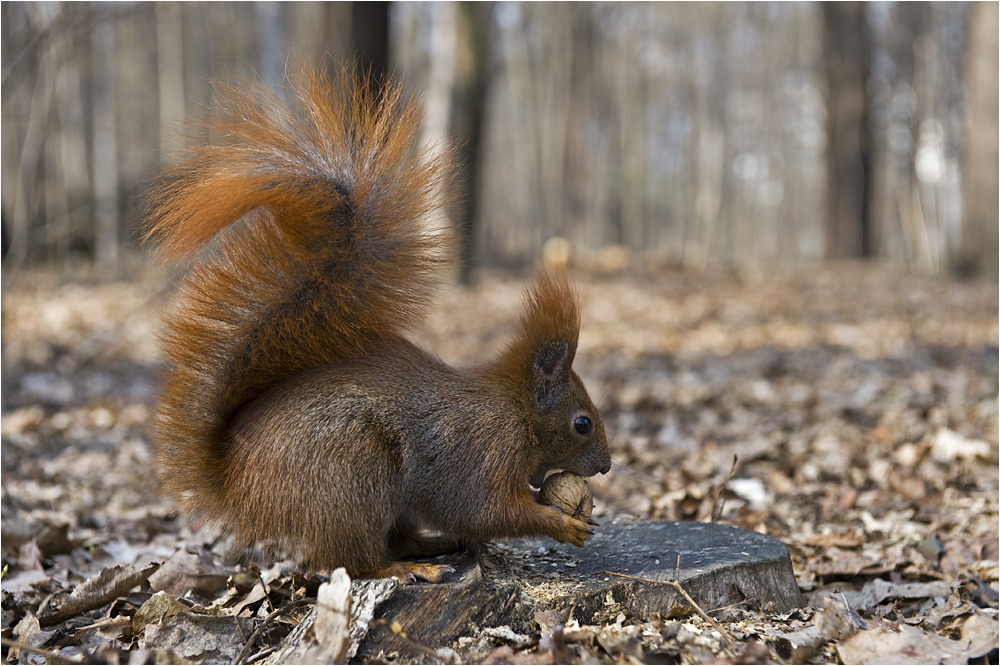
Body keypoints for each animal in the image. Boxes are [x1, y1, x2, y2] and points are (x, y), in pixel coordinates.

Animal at [143, 65, 608, 580]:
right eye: (582, 423)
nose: (607, 466)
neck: (517, 409)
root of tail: (236, 479)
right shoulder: (483, 450)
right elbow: (484, 509)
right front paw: (561, 523)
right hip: (355, 475)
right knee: (354, 558)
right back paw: (405, 570)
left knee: (394, 538)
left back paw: (431, 546)